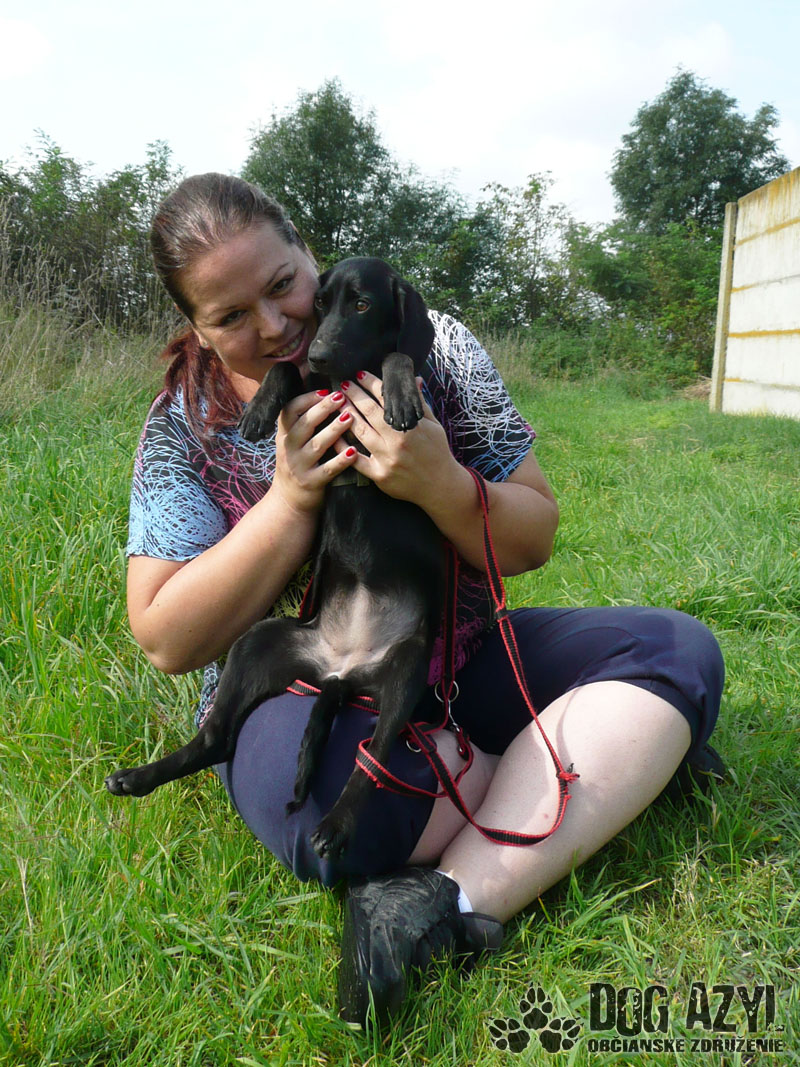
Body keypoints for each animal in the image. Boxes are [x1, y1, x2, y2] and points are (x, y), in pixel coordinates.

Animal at [106, 257, 443, 861]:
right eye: (318, 305)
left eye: (362, 304)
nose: (321, 353)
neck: (347, 377)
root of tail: (341, 669)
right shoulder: (312, 391)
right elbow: (283, 370)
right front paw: (261, 410)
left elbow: (399, 355)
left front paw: (401, 393)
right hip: (257, 646)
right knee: (217, 741)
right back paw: (137, 777)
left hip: (405, 675)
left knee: (372, 763)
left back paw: (336, 826)